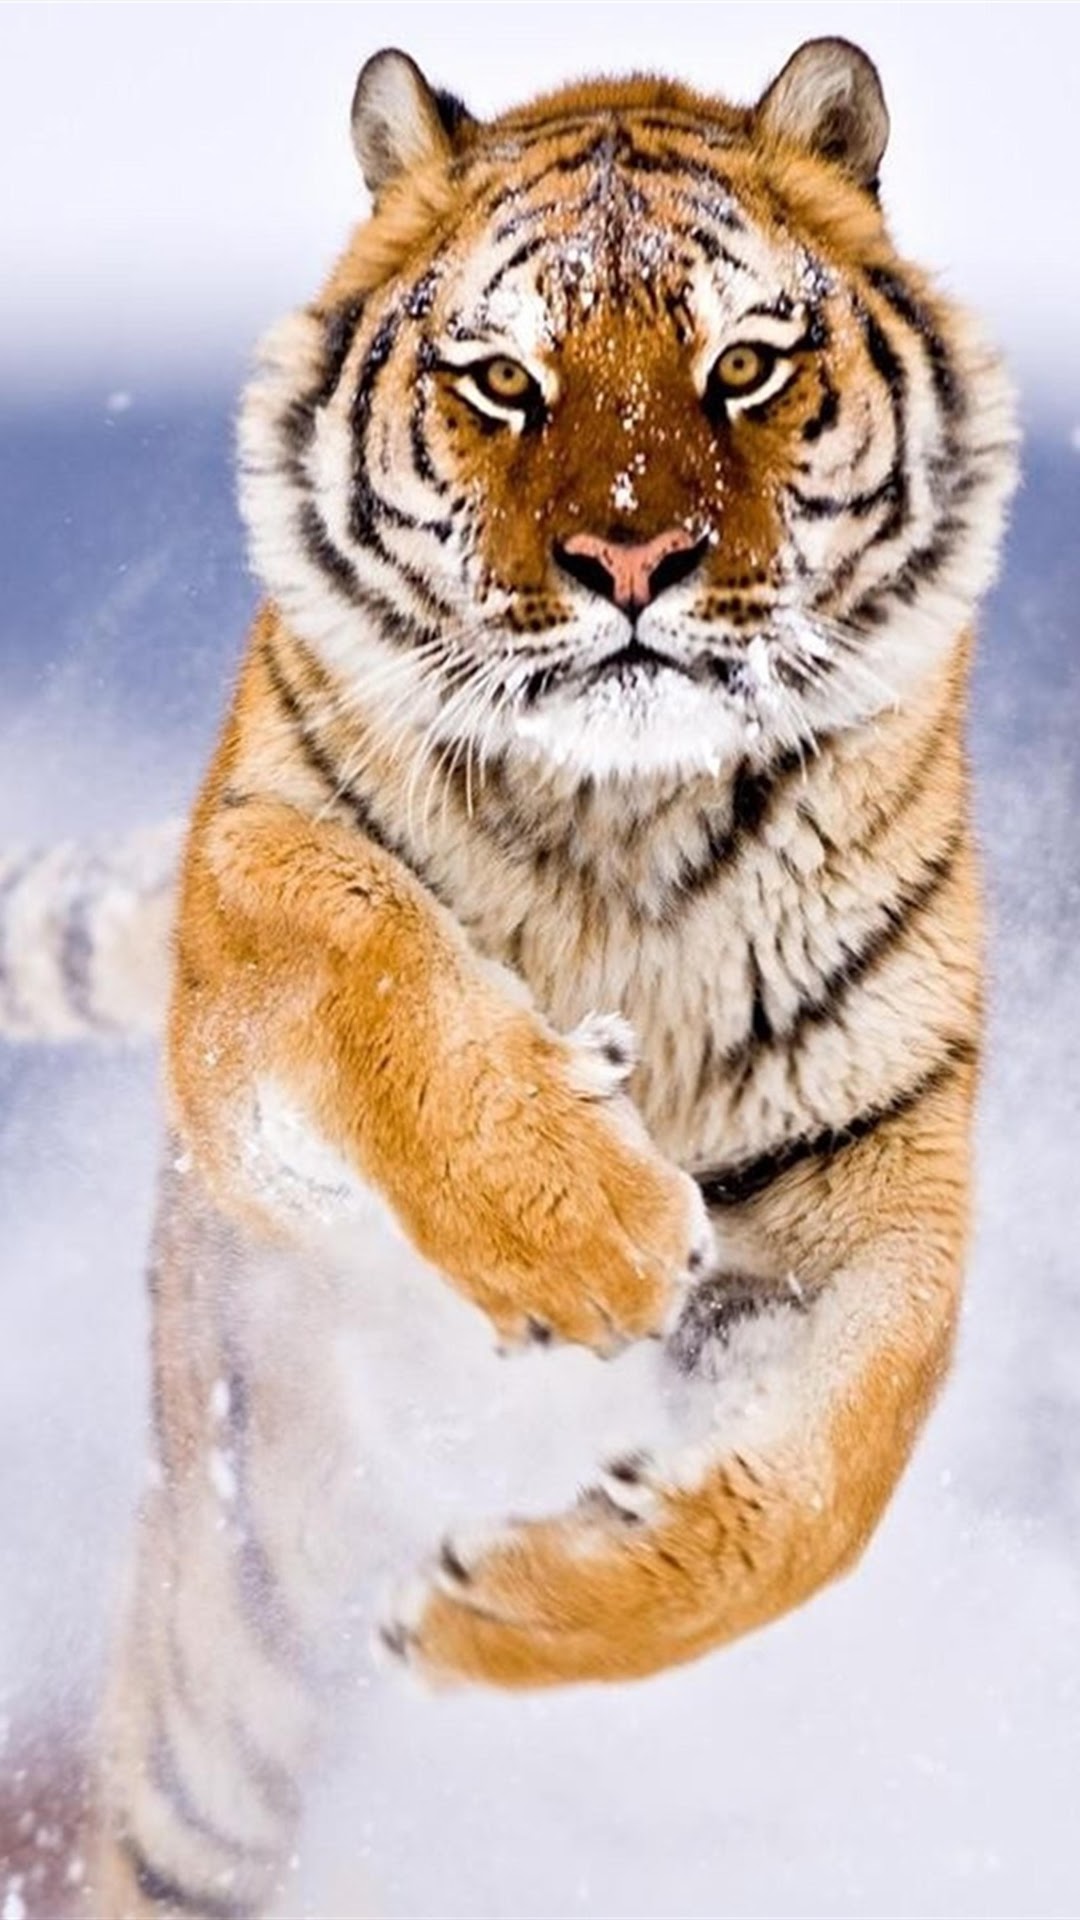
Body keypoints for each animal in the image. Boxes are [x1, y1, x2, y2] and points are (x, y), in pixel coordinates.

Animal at [2, 34, 1018, 1920]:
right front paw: (586, 1226)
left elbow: (824, 1488)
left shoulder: (878, 1169)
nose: (630, 562)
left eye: (744, 364)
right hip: (220, 1692)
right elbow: (363, 937)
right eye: (500, 380)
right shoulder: (243, 940)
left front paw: (504, 1611)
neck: (627, 818)